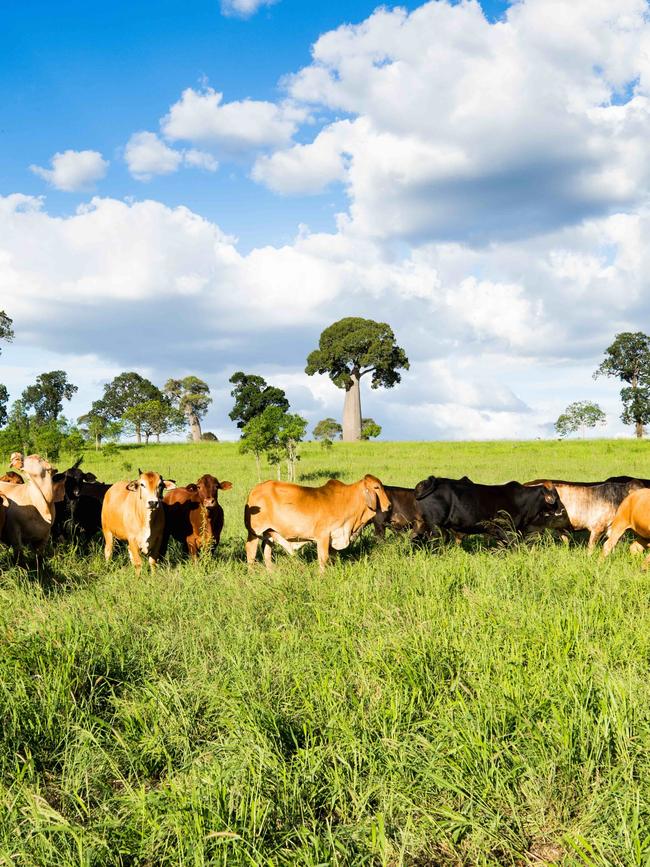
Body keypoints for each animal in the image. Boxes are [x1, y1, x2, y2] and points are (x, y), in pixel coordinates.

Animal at [244, 474, 390, 568]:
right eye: (376, 487)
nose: (389, 506)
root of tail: (254, 490)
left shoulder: (335, 537)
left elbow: (333, 558)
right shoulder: (323, 536)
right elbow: (323, 559)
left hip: (269, 533)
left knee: (267, 553)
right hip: (254, 532)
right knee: (251, 552)